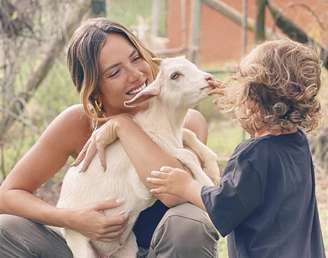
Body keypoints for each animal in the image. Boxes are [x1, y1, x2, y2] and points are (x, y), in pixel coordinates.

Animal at [56, 57, 220, 258]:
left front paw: (213, 169)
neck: (159, 127)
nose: (209, 79)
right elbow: (186, 154)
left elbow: (189, 135)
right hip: (79, 241)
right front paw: (207, 183)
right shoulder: (143, 178)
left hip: (127, 249)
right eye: (175, 75)